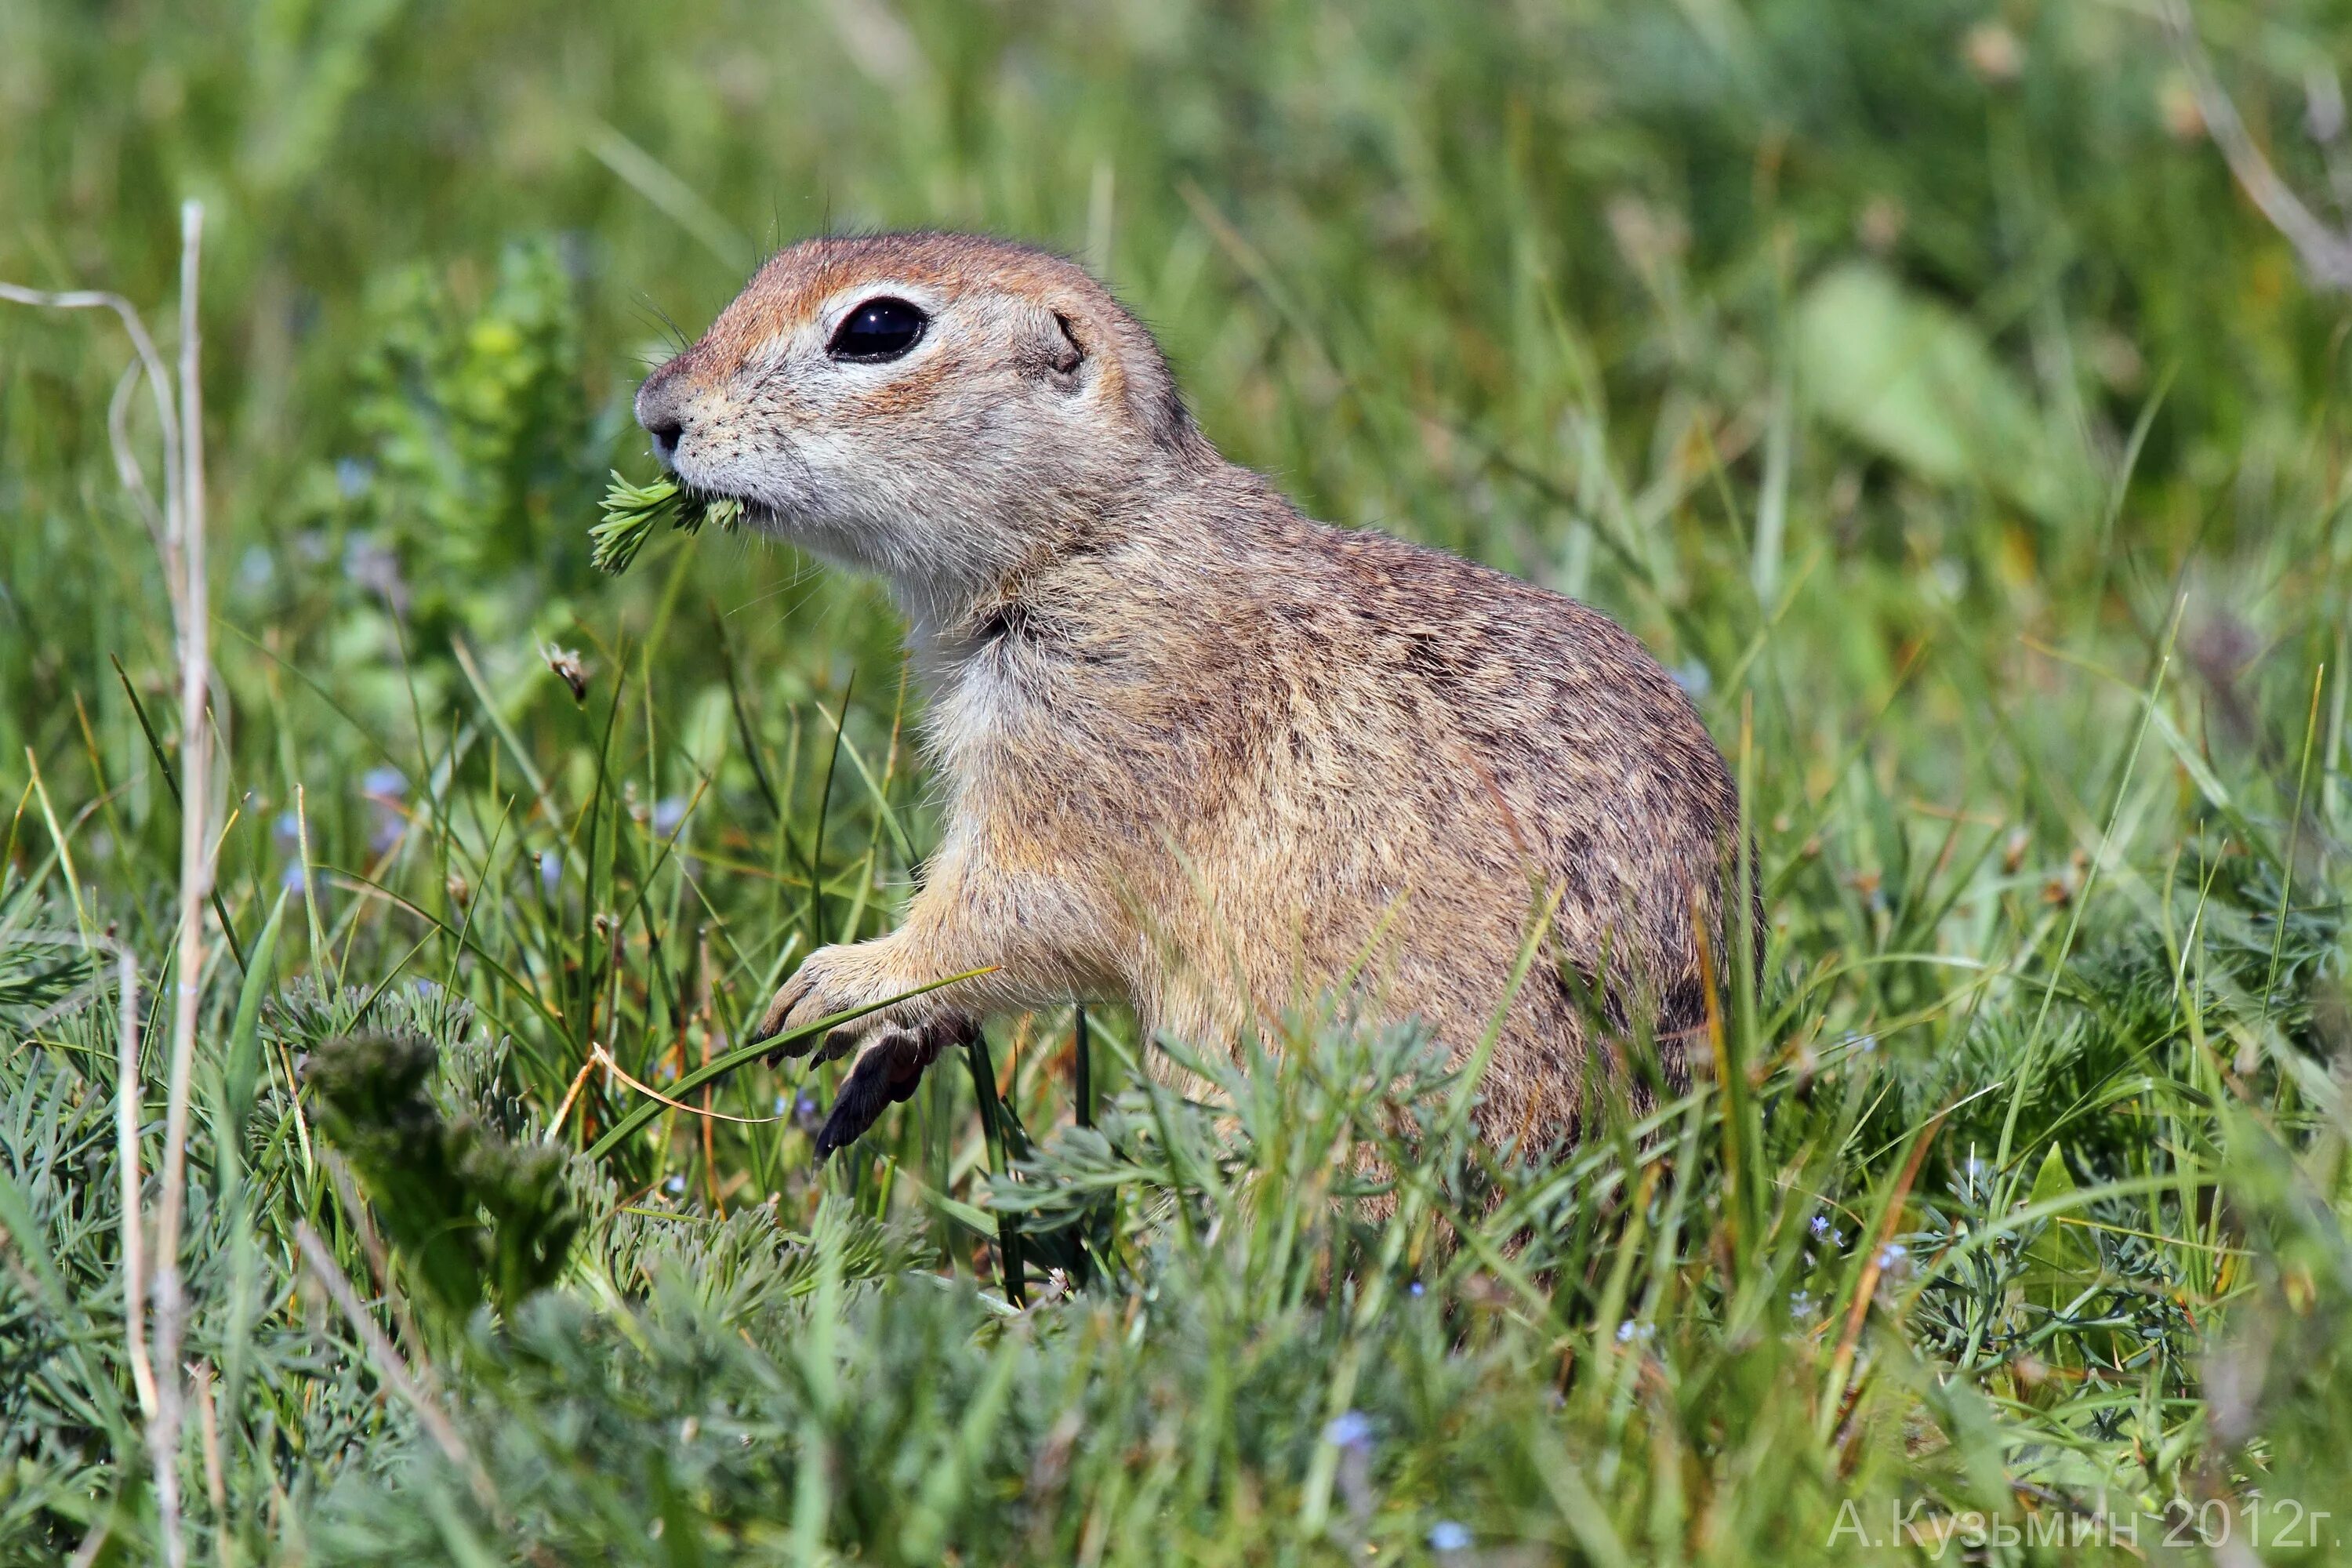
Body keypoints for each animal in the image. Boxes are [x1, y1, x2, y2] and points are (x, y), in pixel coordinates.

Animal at [635, 232, 1759, 1166]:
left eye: (878, 328)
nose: (655, 411)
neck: (1095, 540)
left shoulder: (1102, 732)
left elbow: (1021, 904)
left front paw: (836, 985)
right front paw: (888, 1057)